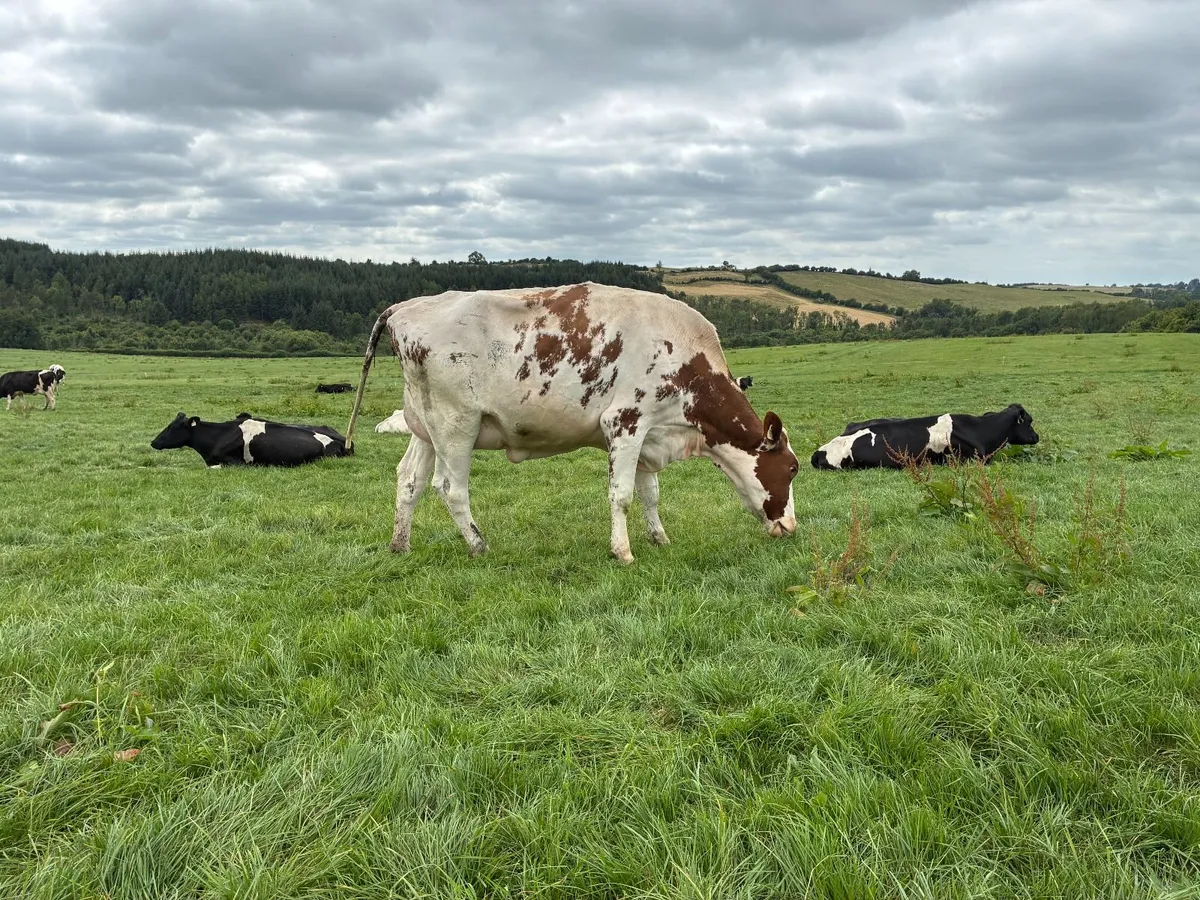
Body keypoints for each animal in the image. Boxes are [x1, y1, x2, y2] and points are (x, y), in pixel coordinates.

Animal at [344, 282, 799, 563]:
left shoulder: (648, 433)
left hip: (425, 428)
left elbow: (650, 494)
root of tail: (407, 305)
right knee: (449, 488)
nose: (792, 526)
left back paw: (400, 545)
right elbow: (622, 495)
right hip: (457, 424)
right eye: (792, 468)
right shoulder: (625, 423)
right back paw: (478, 544)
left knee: (409, 482)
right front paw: (623, 552)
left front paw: (660, 539)